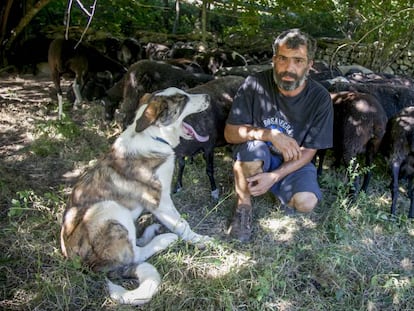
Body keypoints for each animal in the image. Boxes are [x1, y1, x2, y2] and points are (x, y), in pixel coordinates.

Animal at [59, 86, 210, 306]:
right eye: (183, 99)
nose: (208, 97)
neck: (153, 136)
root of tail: (85, 267)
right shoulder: (160, 201)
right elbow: (182, 224)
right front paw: (201, 239)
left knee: (135, 244)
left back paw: (151, 231)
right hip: (108, 208)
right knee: (135, 255)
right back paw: (164, 239)